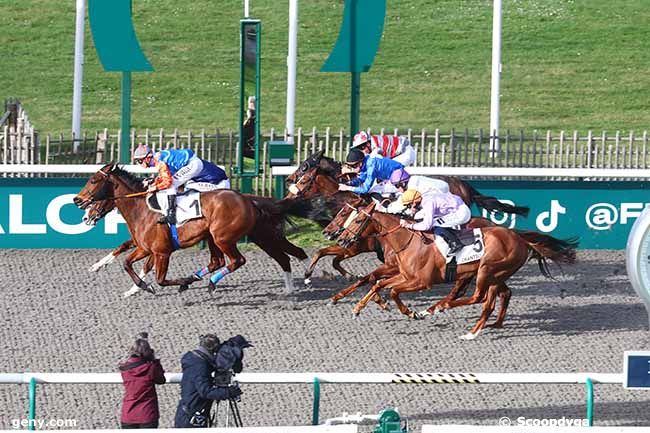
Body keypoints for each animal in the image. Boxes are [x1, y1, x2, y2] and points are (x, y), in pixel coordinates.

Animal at [73, 163, 312, 294]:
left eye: (93, 180)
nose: (78, 201)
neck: (143, 208)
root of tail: (248, 199)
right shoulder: (144, 247)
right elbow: (126, 261)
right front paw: (128, 282)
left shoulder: (161, 252)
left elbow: (159, 278)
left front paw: (174, 284)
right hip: (253, 235)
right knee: (283, 256)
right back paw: (300, 281)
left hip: (224, 237)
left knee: (238, 261)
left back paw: (211, 283)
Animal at [334, 201, 576, 340]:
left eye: (357, 219)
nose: (341, 238)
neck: (408, 241)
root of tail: (519, 238)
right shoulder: (403, 274)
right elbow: (378, 283)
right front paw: (358, 307)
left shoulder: (420, 282)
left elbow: (391, 290)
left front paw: (410, 312)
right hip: (495, 274)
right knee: (498, 296)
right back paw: (488, 324)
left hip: (486, 270)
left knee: (480, 298)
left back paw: (445, 312)